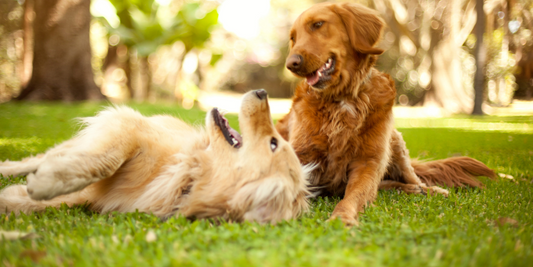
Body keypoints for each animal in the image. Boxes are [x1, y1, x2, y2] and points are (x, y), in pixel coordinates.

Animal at [0, 90, 310, 224]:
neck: (188, 175)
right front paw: (46, 183)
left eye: (273, 143)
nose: (262, 91)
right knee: (38, 158)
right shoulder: (128, 126)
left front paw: (19, 196)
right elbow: (105, 161)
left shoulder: (93, 197)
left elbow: (39, 203)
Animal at [276, 3, 496, 227]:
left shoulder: (368, 162)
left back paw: (427, 189)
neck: (342, 99)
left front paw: (342, 218)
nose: (291, 64)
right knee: (387, 184)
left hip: (395, 142)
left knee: (410, 178)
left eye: (318, 24)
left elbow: (353, 196)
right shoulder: (300, 155)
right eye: (293, 38)